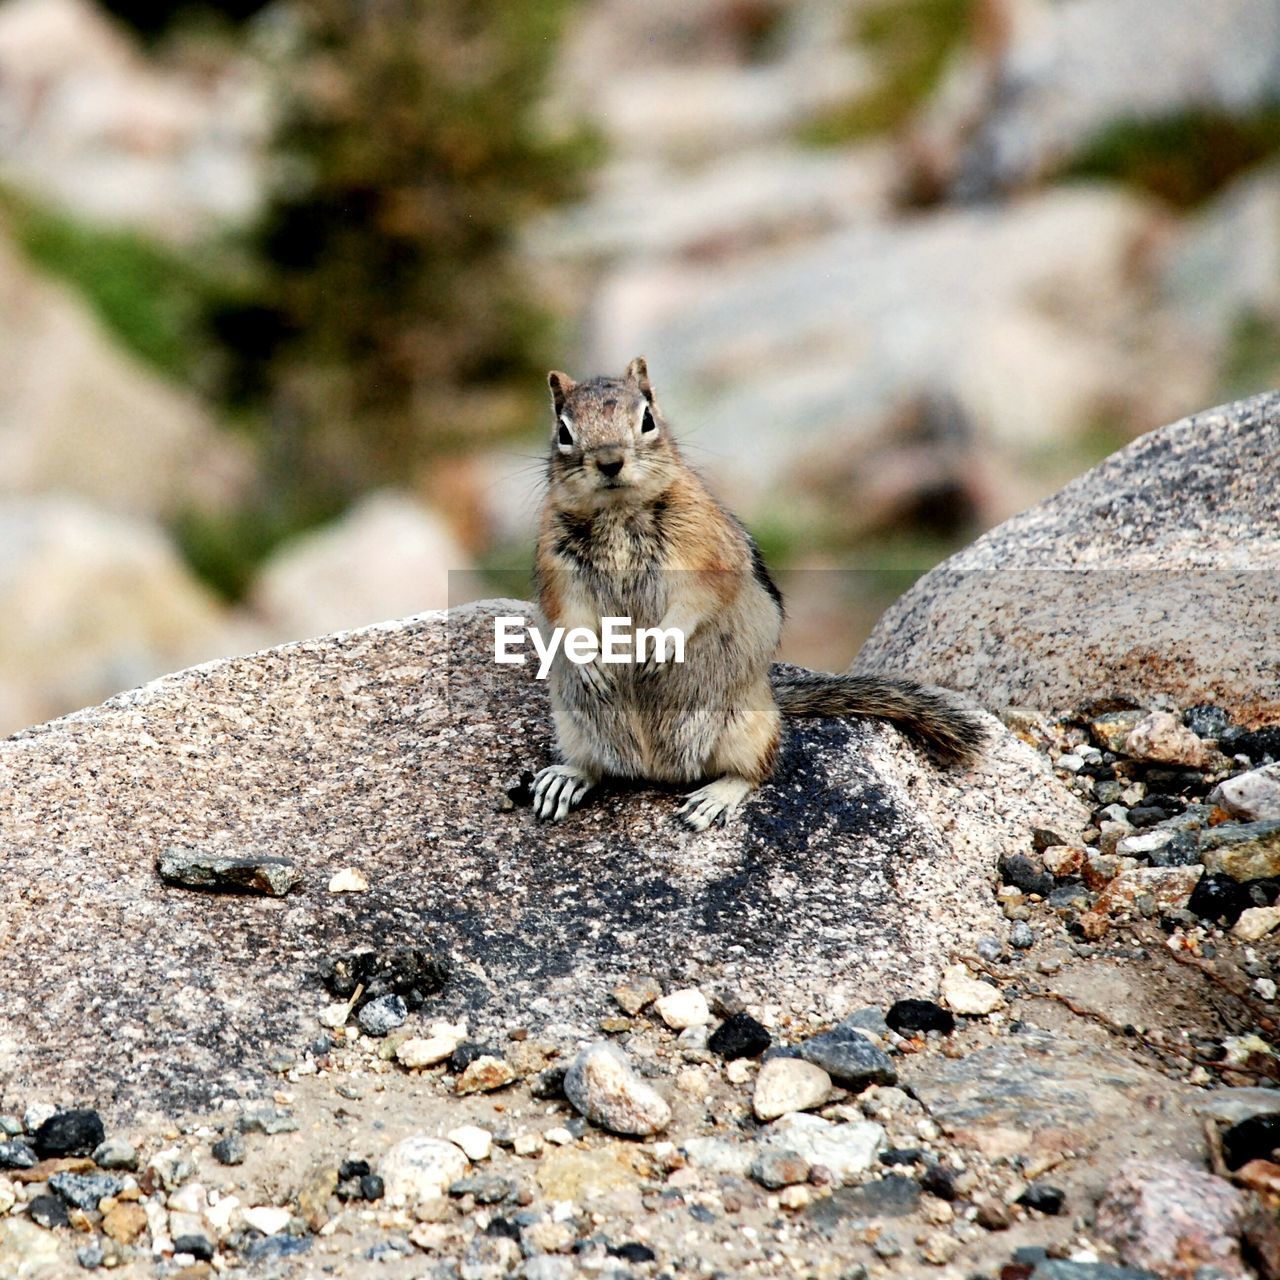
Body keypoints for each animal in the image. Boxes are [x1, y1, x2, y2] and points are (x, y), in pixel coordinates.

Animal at [524, 358, 983, 829]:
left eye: (647, 419)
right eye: (564, 431)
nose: (609, 461)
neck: (617, 511)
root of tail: (656, 770)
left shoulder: (705, 550)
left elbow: (698, 599)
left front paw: (661, 644)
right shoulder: (556, 567)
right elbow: (566, 615)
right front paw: (590, 662)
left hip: (746, 725)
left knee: (756, 770)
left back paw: (712, 798)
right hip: (572, 725)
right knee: (596, 766)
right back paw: (566, 778)